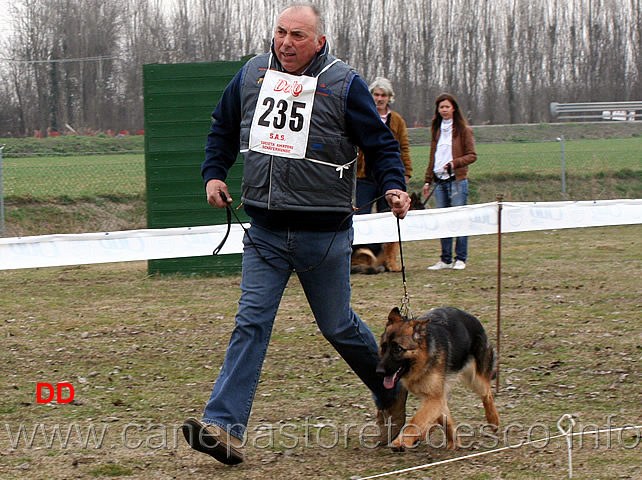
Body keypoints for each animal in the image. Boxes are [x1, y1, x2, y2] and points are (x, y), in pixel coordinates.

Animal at [376, 308, 500, 450]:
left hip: (475, 380)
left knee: (487, 394)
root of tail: (471, 317)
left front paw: (401, 441)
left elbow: (416, 420)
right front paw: (454, 442)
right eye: (383, 347)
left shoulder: (434, 398)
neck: (424, 359)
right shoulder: (436, 397)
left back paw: (493, 420)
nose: (378, 372)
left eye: (398, 349)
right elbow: (443, 419)